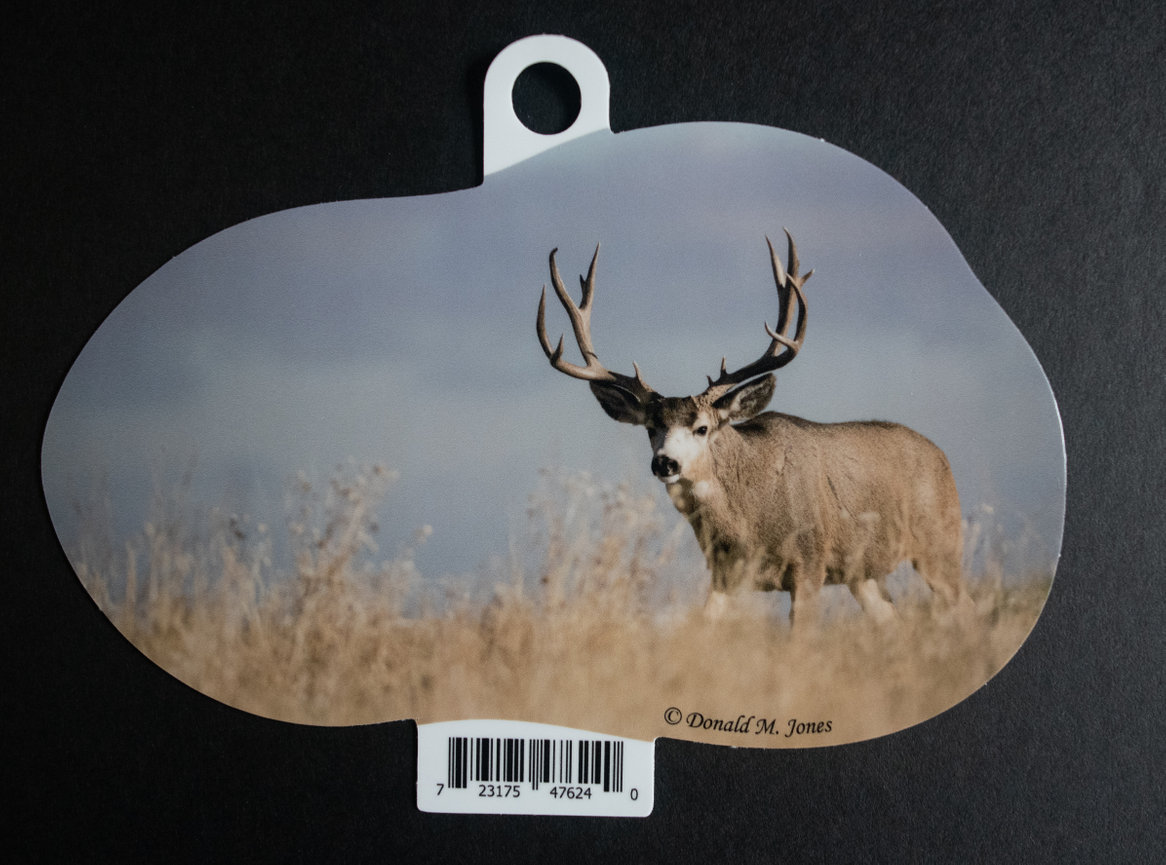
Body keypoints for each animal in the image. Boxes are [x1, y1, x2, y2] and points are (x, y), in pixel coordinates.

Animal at [535, 230, 969, 625]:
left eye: (703, 428)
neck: (748, 522)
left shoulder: (810, 563)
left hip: (941, 544)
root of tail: (941, 456)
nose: (665, 463)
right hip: (864, 573)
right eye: (650, 428)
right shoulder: (725, 576)